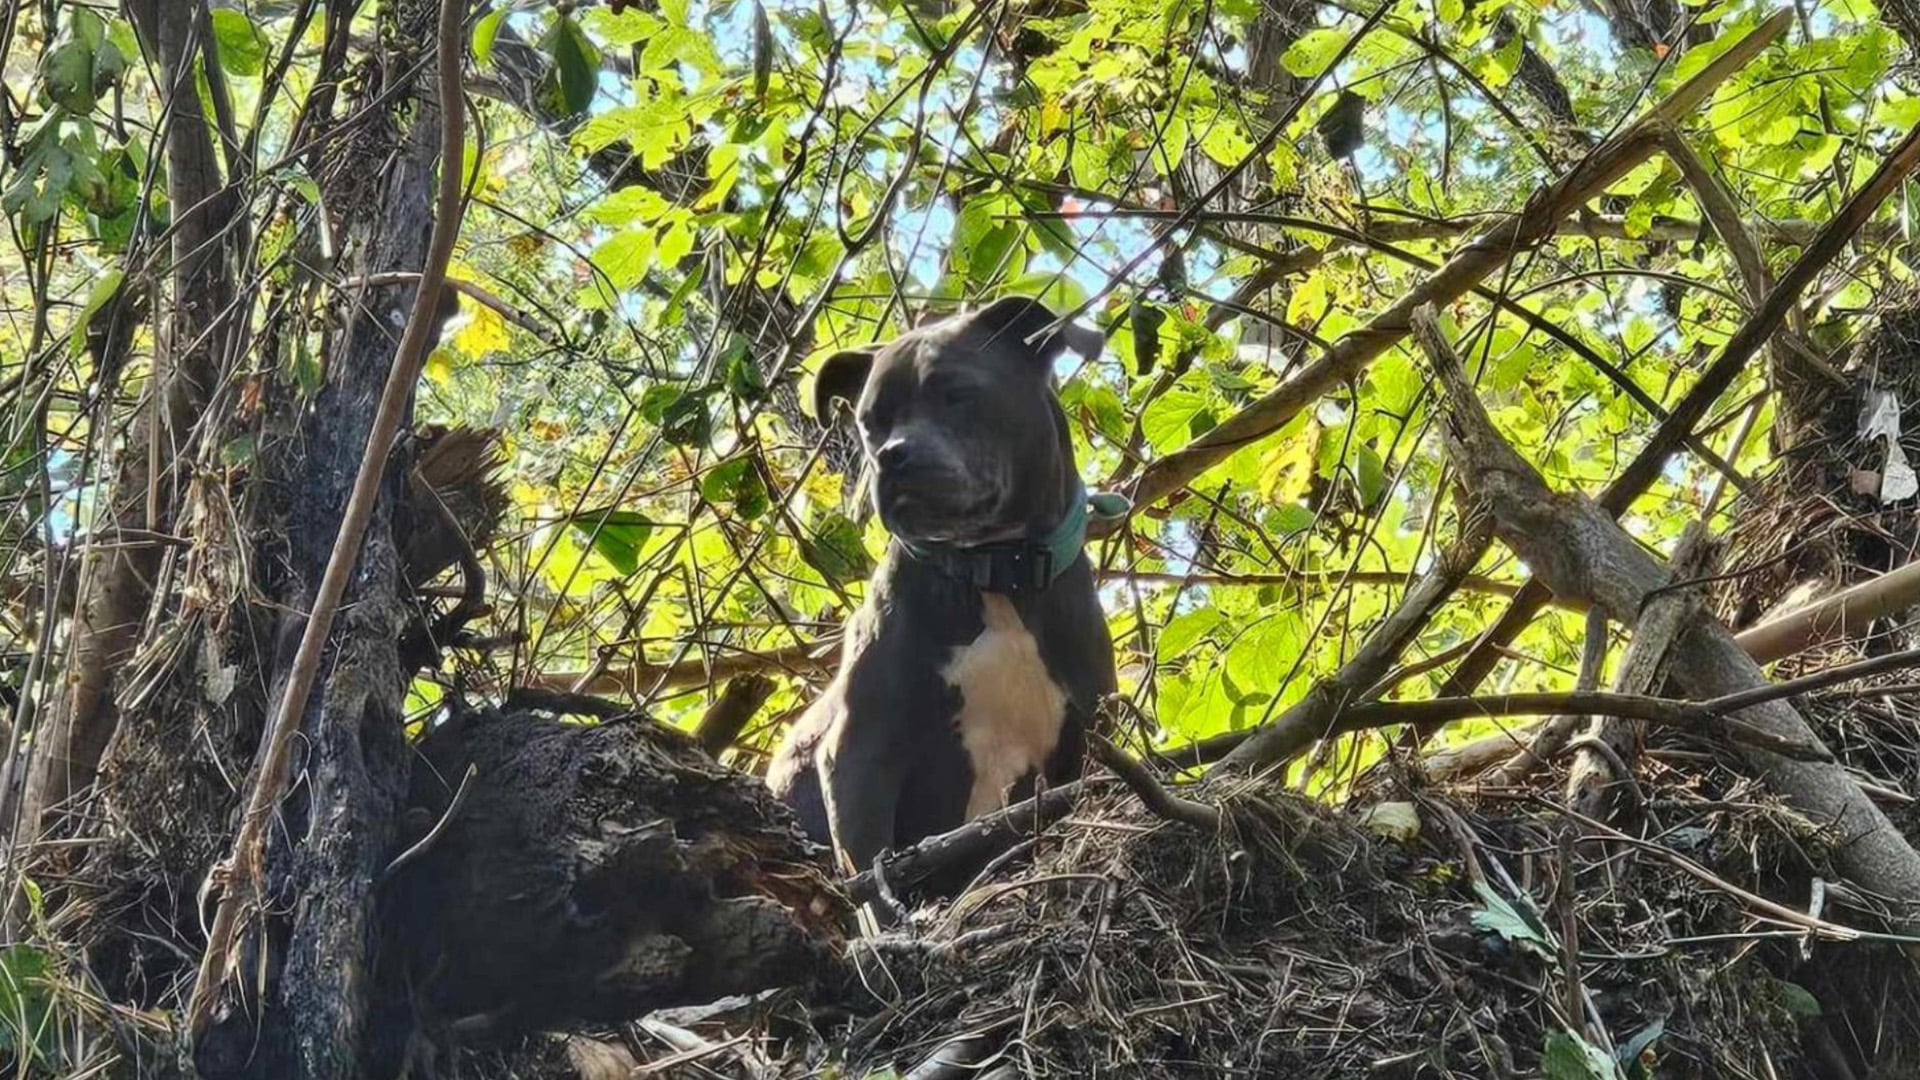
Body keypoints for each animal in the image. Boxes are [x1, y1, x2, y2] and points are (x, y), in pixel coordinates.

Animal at [768, 294, 1121, 876]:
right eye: (870, 422)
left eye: (956, 392)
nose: (891, 454)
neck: (996, 572)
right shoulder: (860, 752)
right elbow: (870, 867)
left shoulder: (1079, 749)